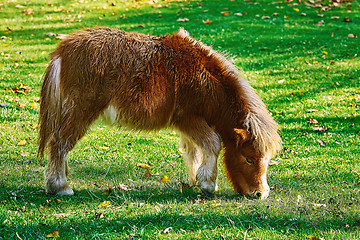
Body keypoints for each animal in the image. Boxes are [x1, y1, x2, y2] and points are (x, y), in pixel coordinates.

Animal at [38, 27, 282, 199]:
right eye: (250, 159)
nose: (260, 194)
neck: (206, 78)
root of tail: (62, 51)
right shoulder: (188, 119)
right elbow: (212, 143)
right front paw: (207, 184)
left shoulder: (189, 126)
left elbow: (194, 150)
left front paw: (195, 179)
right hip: (81, 111)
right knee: (59, 143)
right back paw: (60, 186)